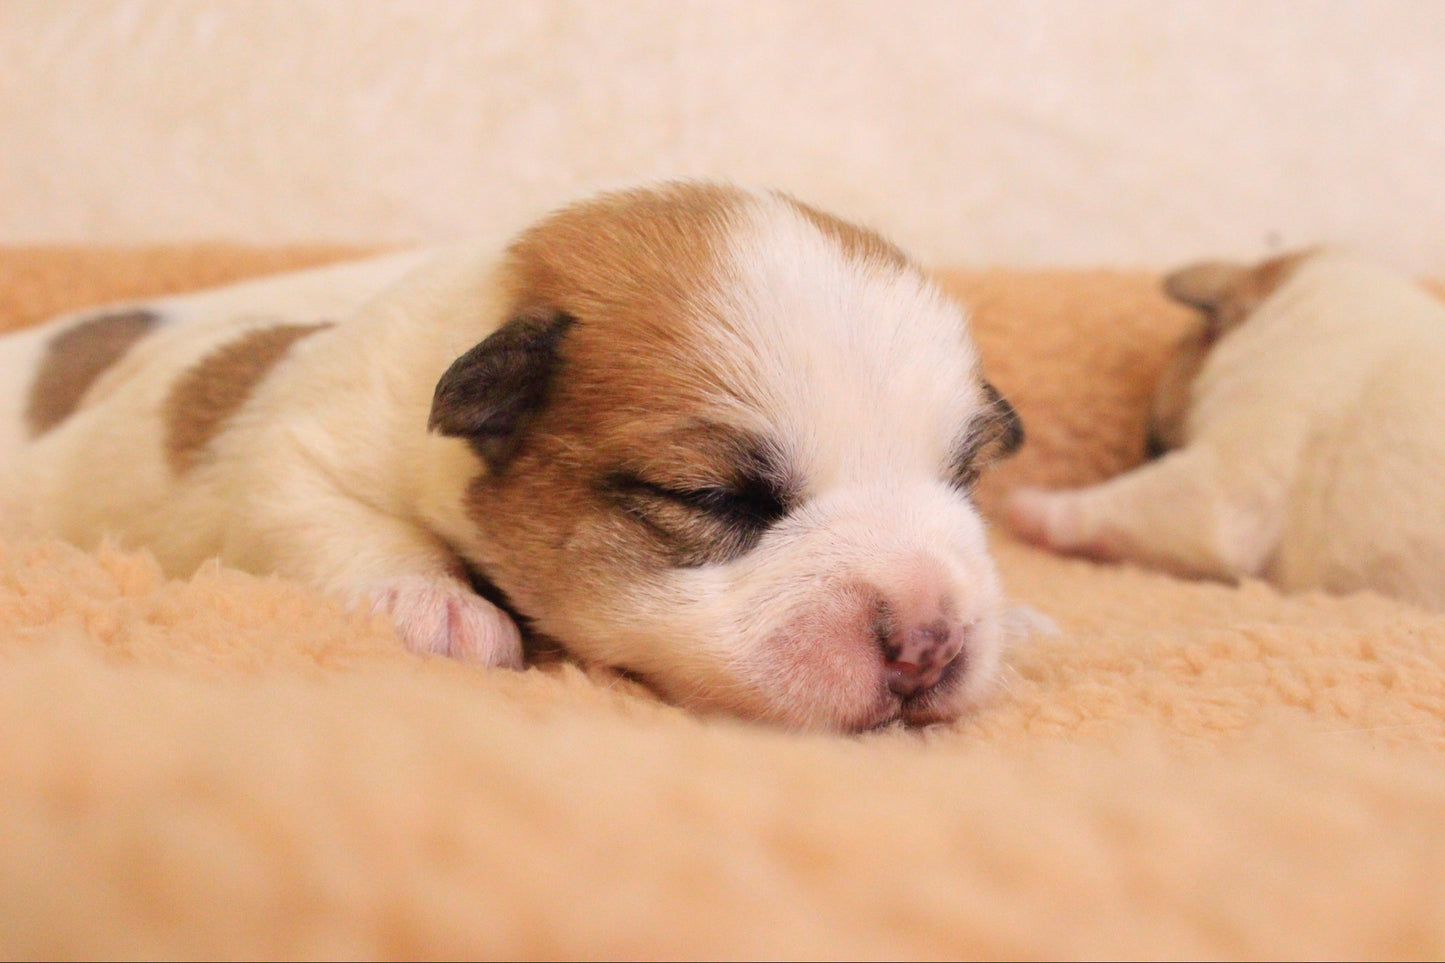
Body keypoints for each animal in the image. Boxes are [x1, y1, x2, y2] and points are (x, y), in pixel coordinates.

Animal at [0, 180, 1028, 728]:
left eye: (962, 481)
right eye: (714, 498)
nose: (931, 639)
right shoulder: (297, 448)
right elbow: (333, 515)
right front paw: (439, 604)